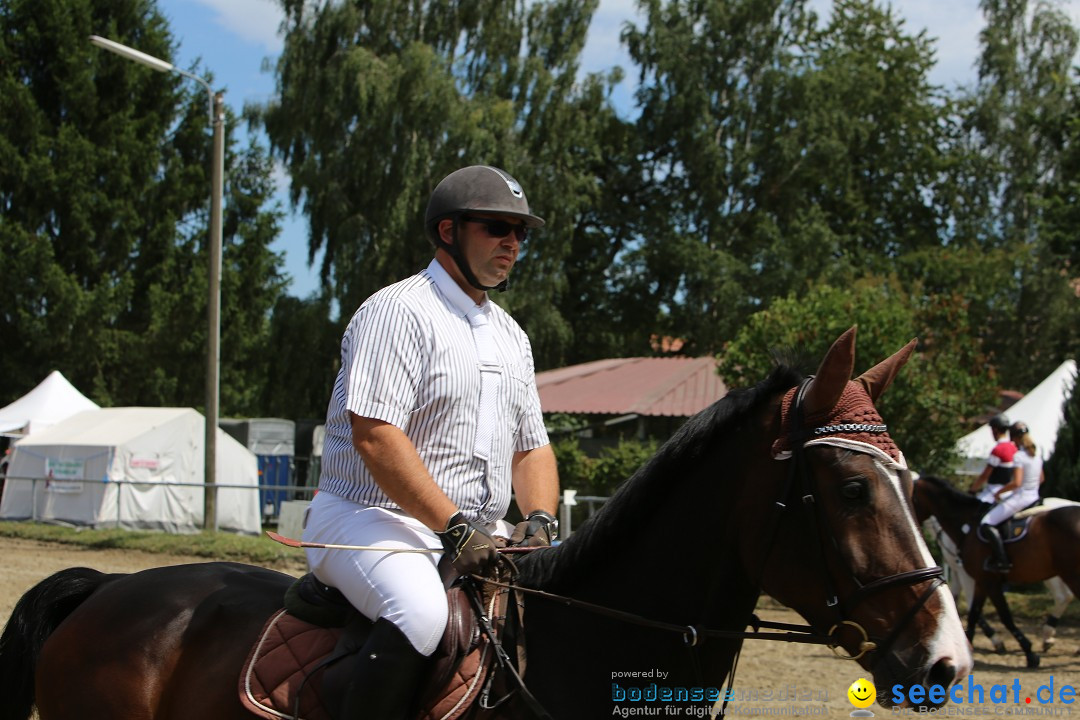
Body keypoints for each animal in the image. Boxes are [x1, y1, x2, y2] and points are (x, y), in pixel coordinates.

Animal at [915, 472, 1080, 669]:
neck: (966, 524)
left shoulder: (982, 579)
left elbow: (1003, 615)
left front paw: (1027, 652)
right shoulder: (975, 578)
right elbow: (970, 611)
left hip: (1065, 573)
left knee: (1064, 596)